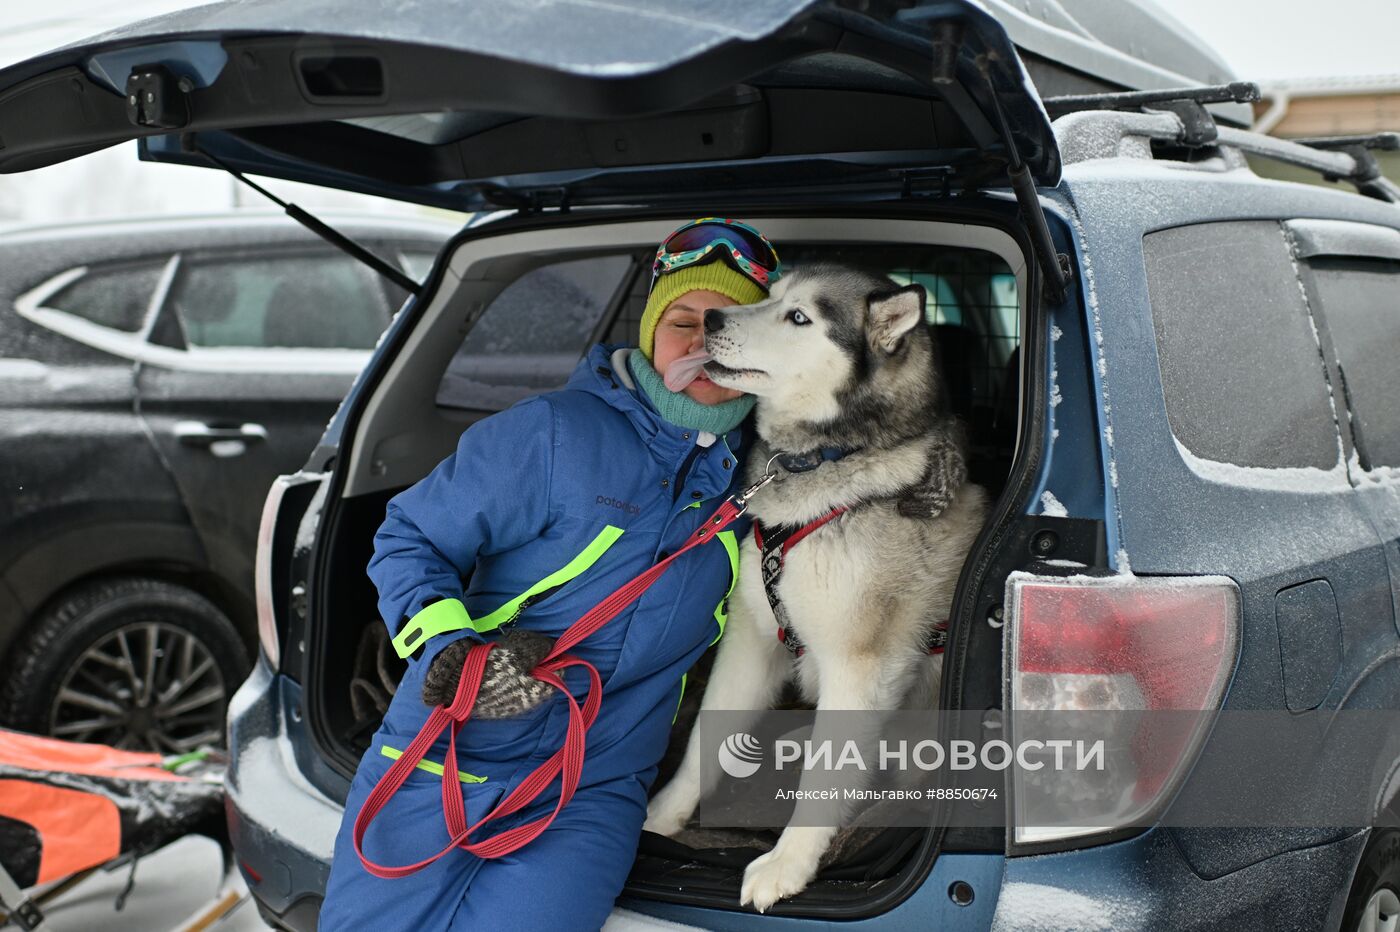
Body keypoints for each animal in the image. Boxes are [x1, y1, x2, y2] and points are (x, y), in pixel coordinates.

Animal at [641, 261, 991, 906]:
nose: (712, 318)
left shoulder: (859, 667)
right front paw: (660, 817)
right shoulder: (751, 641)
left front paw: (787, 864)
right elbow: (703, 741)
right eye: (769, 294)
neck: (828, 461)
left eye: (799, 316)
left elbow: (824, 777)